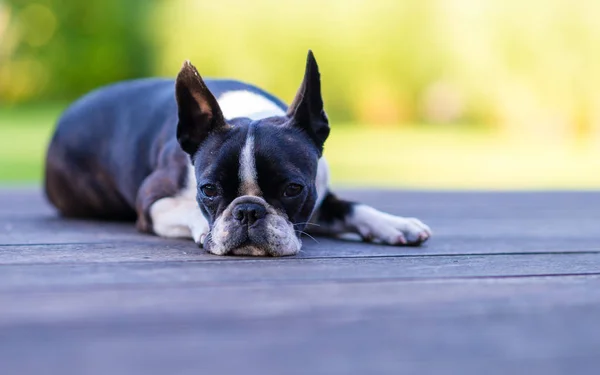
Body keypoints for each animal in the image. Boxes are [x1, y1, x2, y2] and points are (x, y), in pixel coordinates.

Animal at [45, 51, 432, 258]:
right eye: (208, 190)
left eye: (293, 189)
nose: (247, 211)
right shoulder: (151, 199)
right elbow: (187, 208)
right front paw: (208, 228)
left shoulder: (319, 194)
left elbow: (352, 206)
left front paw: (394, 223)